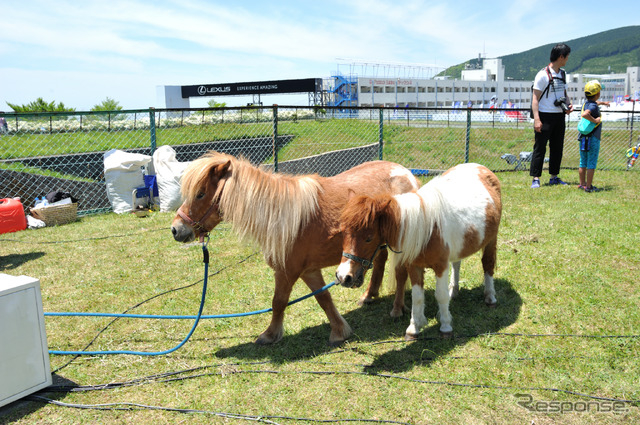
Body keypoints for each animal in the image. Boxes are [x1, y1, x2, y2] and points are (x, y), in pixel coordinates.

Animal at [170, 152, 420, 344]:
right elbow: (323, 298)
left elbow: (278, 302)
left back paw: (397, 310)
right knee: (380, 260)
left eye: (200, 194)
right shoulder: (308, 270)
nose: (175, 229)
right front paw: (340, 332)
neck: (279, 215)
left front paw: (269, 335)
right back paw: (369, 295)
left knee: (400, 273)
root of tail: (405, 173)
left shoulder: (287, 271)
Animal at [336, 162, 500, 338]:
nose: (343, 276)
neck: (426, 228)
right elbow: (417, 297)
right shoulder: (414, 266)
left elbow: (440, 295)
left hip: (491, 240)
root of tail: (480, 167)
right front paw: (414, 328)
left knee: (488, 264)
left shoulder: (441, 267)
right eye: (343, 233)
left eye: (368, 238)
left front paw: (445, 326)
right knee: (457, 264)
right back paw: (454, 291)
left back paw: (490, 297)